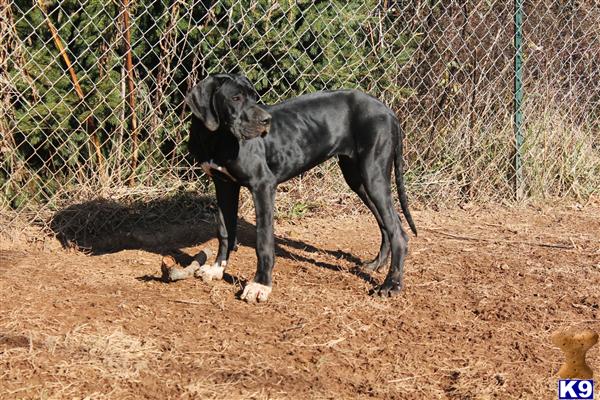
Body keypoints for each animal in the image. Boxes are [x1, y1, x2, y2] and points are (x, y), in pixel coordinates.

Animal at [186, 73, 418, 304]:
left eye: (254, 97)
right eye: (235, 98)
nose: (267, 121)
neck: (216, 138)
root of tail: (387, 110)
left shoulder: (263, 186)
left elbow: (263, 240)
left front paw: (260, 285)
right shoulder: (224, 186)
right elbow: (224, 231)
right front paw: (217, 268)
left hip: (372, 175)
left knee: (398, 232)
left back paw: (391, 285)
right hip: (358, 179)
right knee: (388, 224)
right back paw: (378, 264)